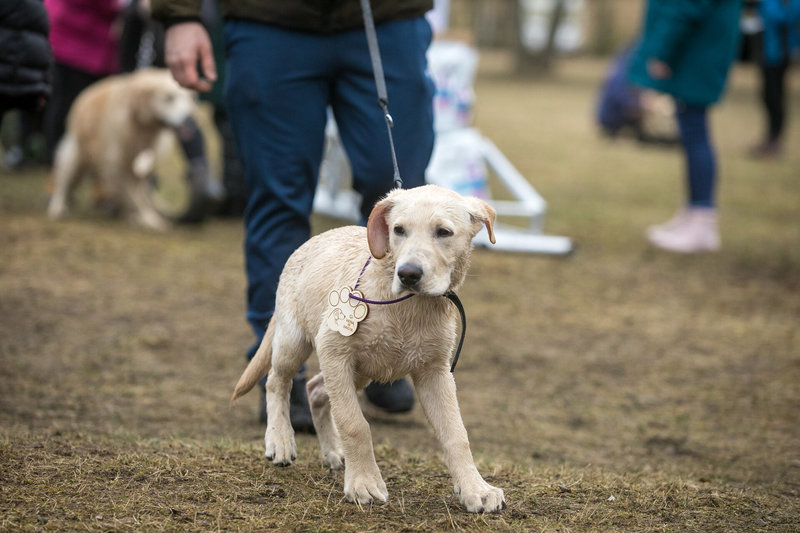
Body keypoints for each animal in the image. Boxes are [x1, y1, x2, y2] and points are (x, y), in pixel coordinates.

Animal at [47, 67, 197, 230]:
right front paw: (146, 219)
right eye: (168, 98)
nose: (187, 119)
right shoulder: (117, 167)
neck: (142, 129)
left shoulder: (139, 169)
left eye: (187, 99)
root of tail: (88, 92)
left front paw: (142, 216)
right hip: (75, 156)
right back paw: (57, 207)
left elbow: (140, 195)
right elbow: (134, 198)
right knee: (63, 181)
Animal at [231, 185, 506, 512]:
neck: (405, 305)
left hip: (360, 372)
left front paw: (476, 489)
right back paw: (280, 441)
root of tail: (310, 243)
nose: (408, 274)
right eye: (398, 230)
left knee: (315, 389)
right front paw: (364, 483)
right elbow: (354, 423)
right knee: (277, 381)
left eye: (443, 232)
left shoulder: (435, 373)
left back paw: (334, 452)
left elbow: (456, 434)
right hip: (294, 342)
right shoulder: (334, 350)